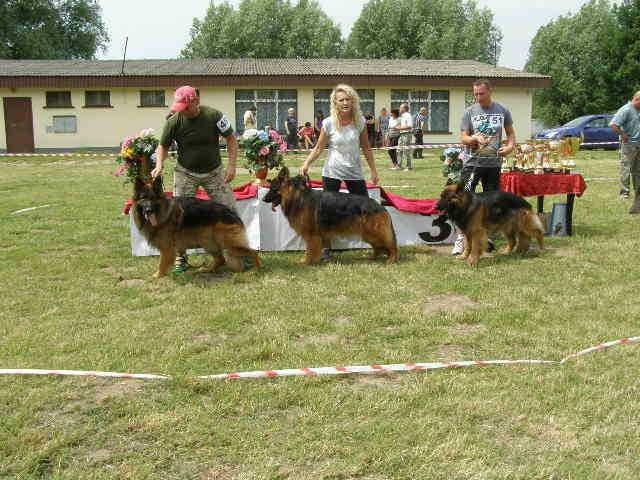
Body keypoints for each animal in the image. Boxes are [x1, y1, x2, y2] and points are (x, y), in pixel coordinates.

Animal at [131, 176, 262, 278]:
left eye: (153, 198)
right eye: (143, 198)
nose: (149, 210)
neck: (163, 211)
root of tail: (232, 213)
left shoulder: (167, 248)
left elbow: (161, 264)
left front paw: (157, 275)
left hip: (227, 244)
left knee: (253, 252)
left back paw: (257, 270)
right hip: (208, 242)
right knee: (221, 259)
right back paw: (207, 269)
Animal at [262, 167, 398, 264]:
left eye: (273, 188)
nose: (263, 199)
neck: (297, 197)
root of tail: (379, 205)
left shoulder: (311, 235)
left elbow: (310, 249)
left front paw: (307, 261)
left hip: (375, 232)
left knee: (390, 244)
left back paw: (392, 259)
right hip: (368, 233)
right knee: (378, 246)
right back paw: (373, 257)